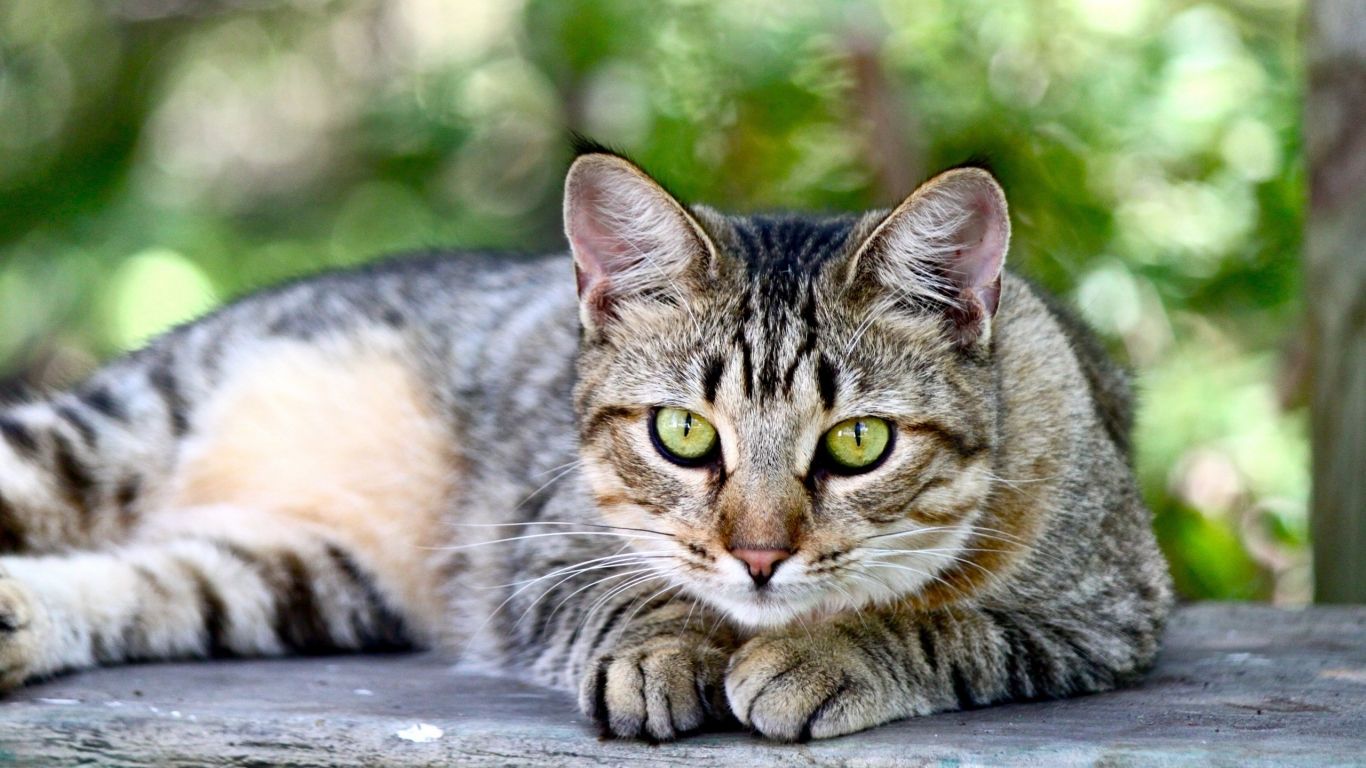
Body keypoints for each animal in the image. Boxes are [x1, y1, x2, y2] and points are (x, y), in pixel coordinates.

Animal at [0, 142, 1174, 737]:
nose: (759, 555)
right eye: (682, 432)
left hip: (298, 575)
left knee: (151, 578)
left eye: (856, 445)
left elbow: (953, 626)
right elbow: (631, 592)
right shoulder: (546, 539)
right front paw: (665, 649)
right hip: (113, 429)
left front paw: (825, 653)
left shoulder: (1107, 612)